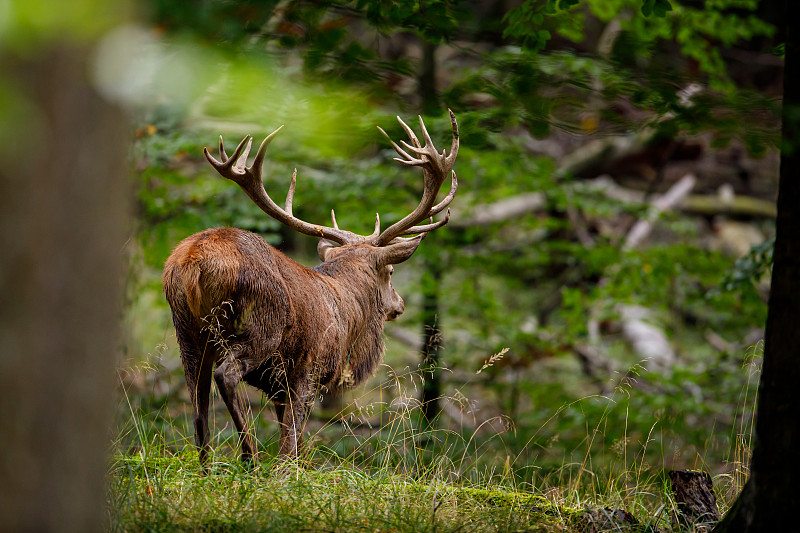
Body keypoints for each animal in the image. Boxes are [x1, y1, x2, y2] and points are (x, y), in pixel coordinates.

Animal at [162, 110, 460, 464]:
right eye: (390, 272)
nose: (399, 304)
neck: (348, 317)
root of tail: (191, 262)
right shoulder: (306, 371)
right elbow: (292, 444)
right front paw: (286, 469)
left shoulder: (278, 388)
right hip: (259, 327)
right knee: (226, 376)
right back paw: (250, 456)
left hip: (187, 333)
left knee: (197, 401)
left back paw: (207, 466)